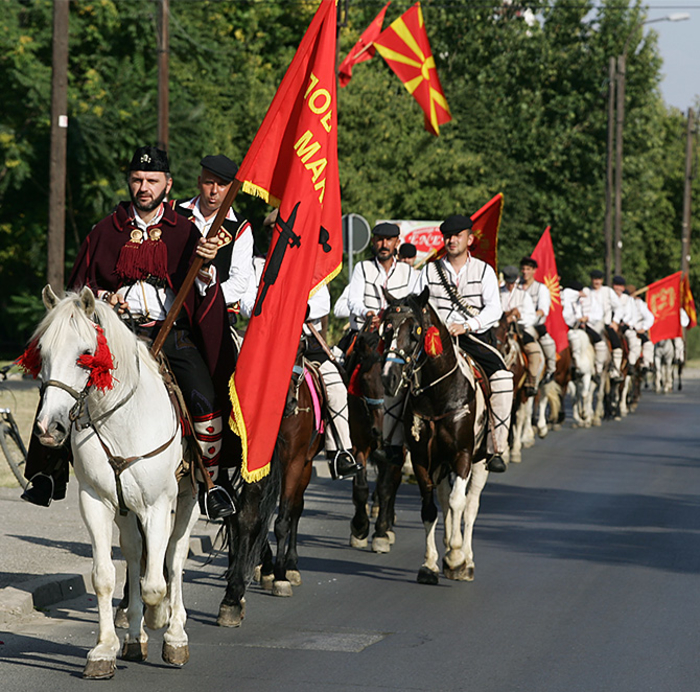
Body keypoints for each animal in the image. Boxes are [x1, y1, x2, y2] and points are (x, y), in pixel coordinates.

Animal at [31, 288, 198, 680]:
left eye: (85, 354)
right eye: (42, 352)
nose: (49, 429)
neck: (121, 419)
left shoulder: (157, 505)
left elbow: (156, 583)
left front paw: (160, 617)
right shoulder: (96, 501)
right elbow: (105, 576)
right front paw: (104, 649)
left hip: (190, 498)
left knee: (175, 556)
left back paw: (174, 634)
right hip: (125, 508)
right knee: (136, 553)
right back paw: (135, 637)